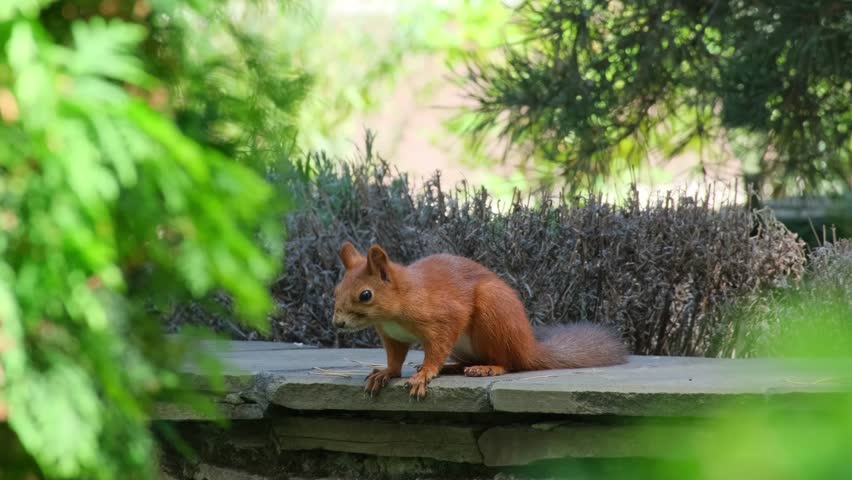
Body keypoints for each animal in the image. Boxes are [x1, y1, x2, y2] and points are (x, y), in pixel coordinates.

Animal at [332, 242, 628, 399]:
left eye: (365, 295)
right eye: (336, 290)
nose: (338, 323)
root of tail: (528, 346)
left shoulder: (444, 317)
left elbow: (436, 348)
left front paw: (425, 374)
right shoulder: (392, 335)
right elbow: (395, 358)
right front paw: (385, 373)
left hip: (493, 313)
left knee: (510, 362)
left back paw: (488, 368)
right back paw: (455, 367)